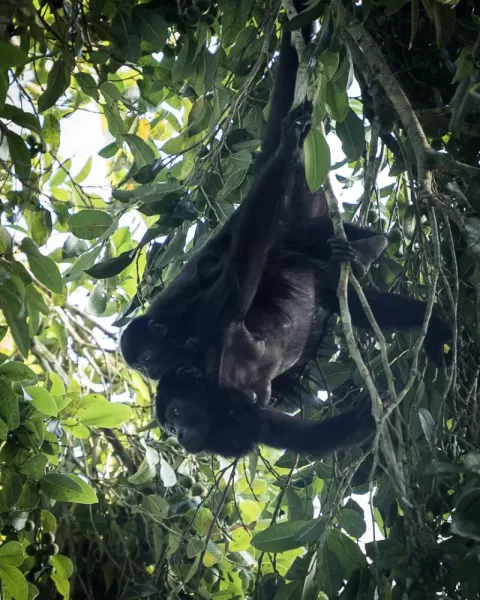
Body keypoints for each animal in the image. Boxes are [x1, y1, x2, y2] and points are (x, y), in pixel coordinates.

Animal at [156, 368, 376, 458]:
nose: (179, 435)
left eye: (175, 412)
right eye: (170, 429)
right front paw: (363, 421)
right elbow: (306, 437)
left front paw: (364, 418)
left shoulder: (244, 408)